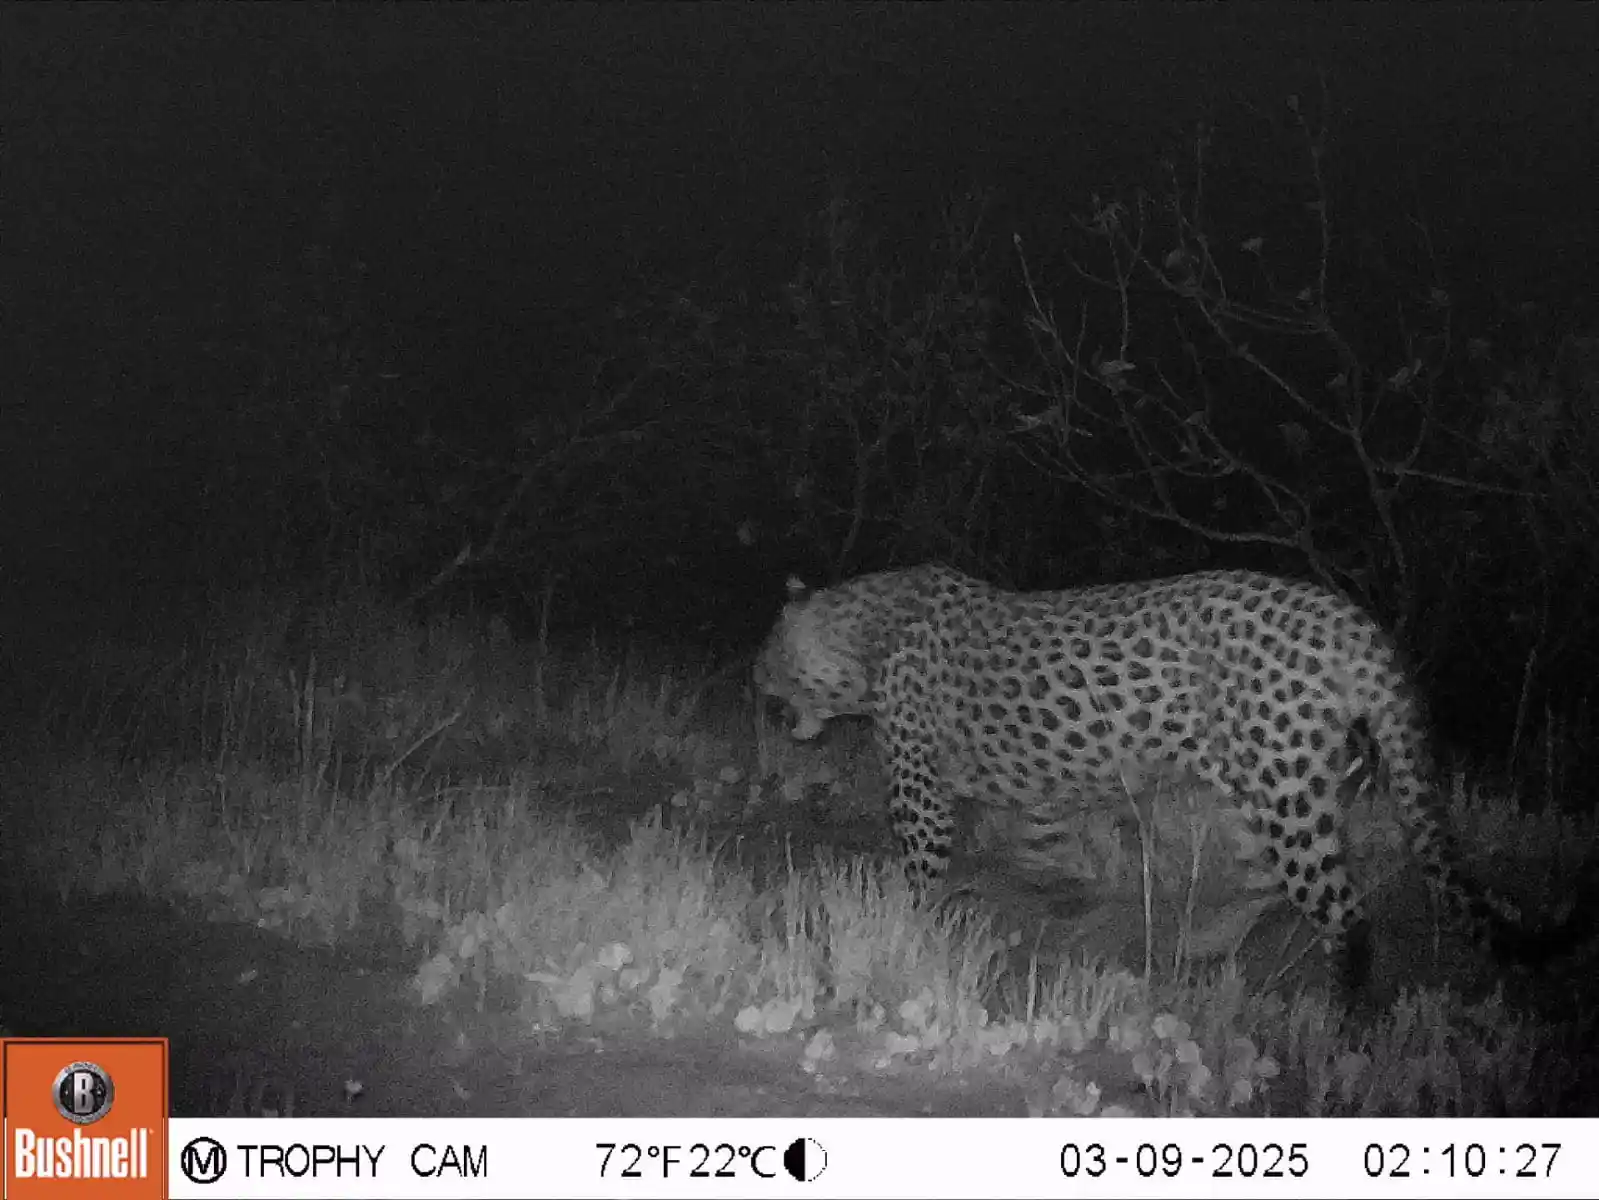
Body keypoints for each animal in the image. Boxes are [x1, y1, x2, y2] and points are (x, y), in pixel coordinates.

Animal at [753, 561, 1594, 994]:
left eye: (767, 656)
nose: (754, 691)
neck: (865, 638)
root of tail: (1349, 620)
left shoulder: (919, 787)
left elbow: (921, 865)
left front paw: (908, 921)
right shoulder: (1043, 787)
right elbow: (1044, 840)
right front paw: (1053, 896)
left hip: (1285, 790)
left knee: (1343, 911)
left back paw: (1345, 1015)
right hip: (1277, 789)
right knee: (1266, 881)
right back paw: (1197, 945)